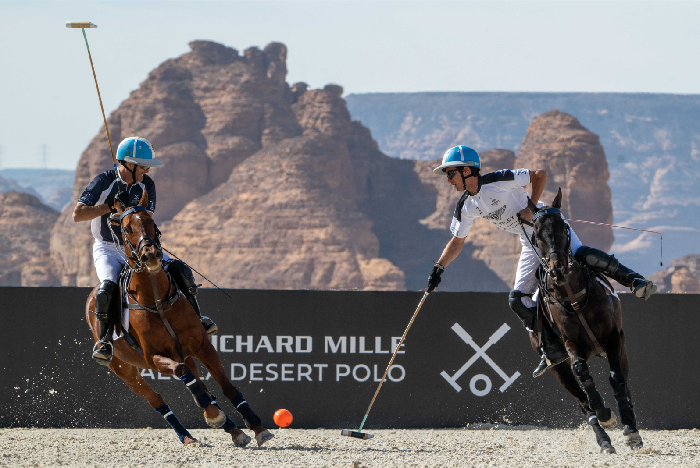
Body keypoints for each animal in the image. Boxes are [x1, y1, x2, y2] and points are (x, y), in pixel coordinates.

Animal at [85, 192, 274, 448]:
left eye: (151, 221)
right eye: (125, 228)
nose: (151, 255)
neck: (156, 298)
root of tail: (90, 296)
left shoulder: (202, 346)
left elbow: (226, 387)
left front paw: (257, 427)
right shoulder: (154, 358)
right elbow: (185, 376)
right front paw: (214, 417)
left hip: (182, 353)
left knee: (203, 389)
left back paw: (233, 429)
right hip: (124, 369)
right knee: (158, 398)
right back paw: (188, 435)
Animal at [528, 189, 644, 454]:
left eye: (564, 226)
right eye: (536, 234)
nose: (558, 270)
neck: (573, 298)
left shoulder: (613, 338)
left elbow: (617, 380)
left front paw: (630, 430)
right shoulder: (571, 345)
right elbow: (582, 374)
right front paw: (605, 414)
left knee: (623, 382)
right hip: (557, 367)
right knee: (581, 400)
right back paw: (604, 440)